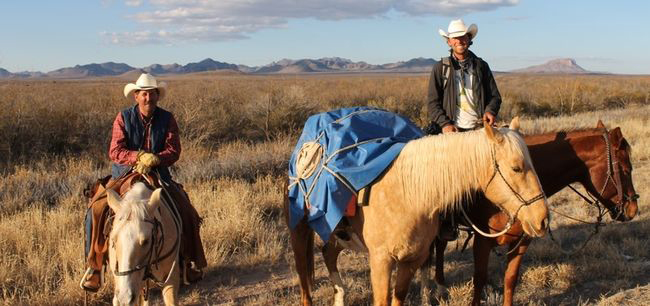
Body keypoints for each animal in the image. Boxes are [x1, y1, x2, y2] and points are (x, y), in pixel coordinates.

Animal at [284, 121, 548, 306]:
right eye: (516, 167)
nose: (542, 219)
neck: (409, 194)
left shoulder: (412, 260)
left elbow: (399, 297)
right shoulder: (380, 261)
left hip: (340, 234)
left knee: (328, 253)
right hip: (299, 231)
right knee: (303, 277)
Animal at [422, 120, 636, 304]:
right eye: (626, 169)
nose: (633, 209)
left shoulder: (523, 239)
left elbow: (510, 279)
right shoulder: (482, 241)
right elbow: (479, 278)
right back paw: (439, 288)